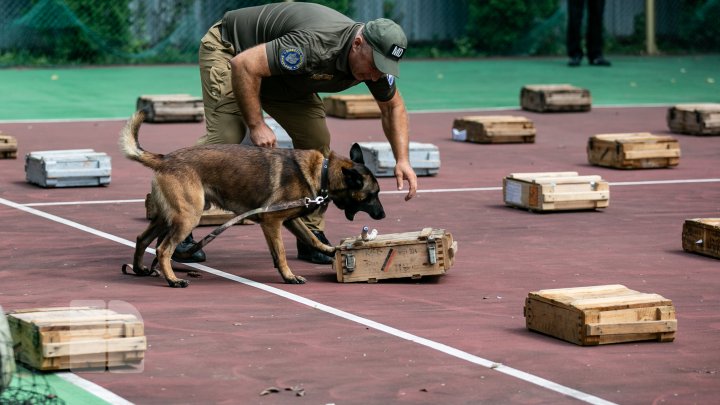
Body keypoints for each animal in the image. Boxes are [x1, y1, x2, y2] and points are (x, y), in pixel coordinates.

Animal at [121, 110, 386, 288]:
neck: (322, 171)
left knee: (142, 239)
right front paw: (288, 276)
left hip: (167, 218)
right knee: (163, 249)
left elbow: (311, 238)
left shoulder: (290, 220)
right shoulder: (272, 222)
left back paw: (140, 269)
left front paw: (331, 250)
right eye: (372, 195)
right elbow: (280, 252)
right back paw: (173, 280)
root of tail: (165, 159)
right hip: (188, 217)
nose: (383, 215)